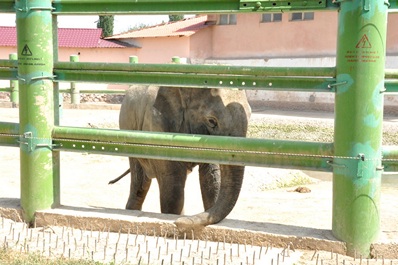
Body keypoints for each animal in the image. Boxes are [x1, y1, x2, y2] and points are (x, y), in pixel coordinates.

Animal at [110, 85, 250, 228]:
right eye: (212, 121)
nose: (179, 223)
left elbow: (212, 179)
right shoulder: (158, 126)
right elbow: (173, 190)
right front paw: (172, 219)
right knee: (140, 184)